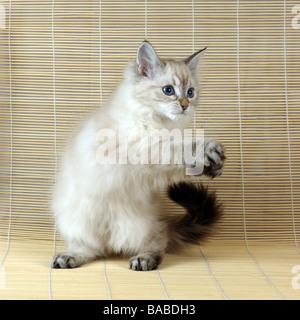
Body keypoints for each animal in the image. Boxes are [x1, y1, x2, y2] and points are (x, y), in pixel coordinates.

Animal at [51, 40, 225, 270]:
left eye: (190, 92)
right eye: (168, 90)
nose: (185, 106)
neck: (157, 122)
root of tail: (110, 239)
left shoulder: (156, 168)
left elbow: (181, 163)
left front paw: (212, 166)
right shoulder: (144, 150)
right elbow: (180, 149)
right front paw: (208, 150)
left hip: (141, 227)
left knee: (157, 241)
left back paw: (143, 259)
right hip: (78, 223)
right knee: (91, 248)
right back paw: (71, 257)